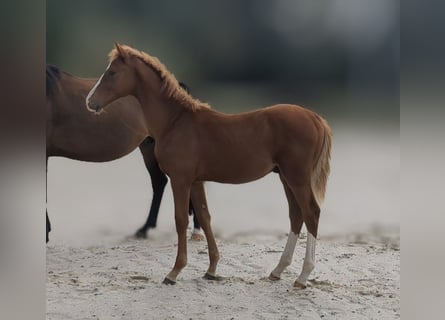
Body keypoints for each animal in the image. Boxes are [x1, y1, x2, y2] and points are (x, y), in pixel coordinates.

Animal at [86, 43, 332, 290]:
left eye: (112, 73)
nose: (90, 101)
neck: (175, 122)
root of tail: (315, 117)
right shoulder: (196, 181)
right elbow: (204, 218)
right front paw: (211, 269)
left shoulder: (180, 179)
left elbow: (181, 220)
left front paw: (174, 272)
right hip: (285, 177)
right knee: (296, 215)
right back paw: (278, 270)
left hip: (297, 177)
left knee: (311, 213)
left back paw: (302, 276)